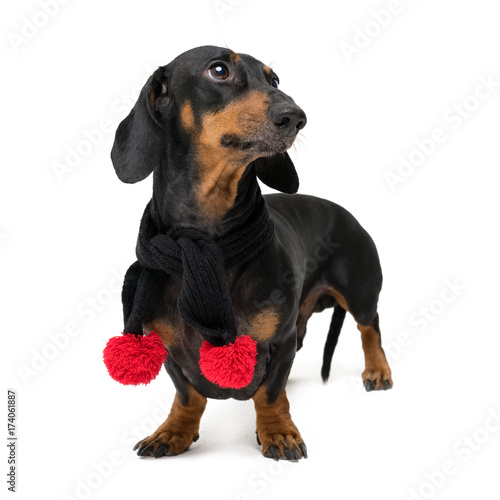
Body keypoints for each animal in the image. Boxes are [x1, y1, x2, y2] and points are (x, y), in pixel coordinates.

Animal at [110, 47, 394, 460]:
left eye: (273, 79)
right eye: (219, 70)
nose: (295, 116)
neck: (207, 244)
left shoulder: (280, 341)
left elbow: (270, 394)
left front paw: (278, 432)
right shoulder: (168, 350)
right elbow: (188, 395)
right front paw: (173, 431)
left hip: (359, 290)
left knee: (369, 327)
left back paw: (377, 370)